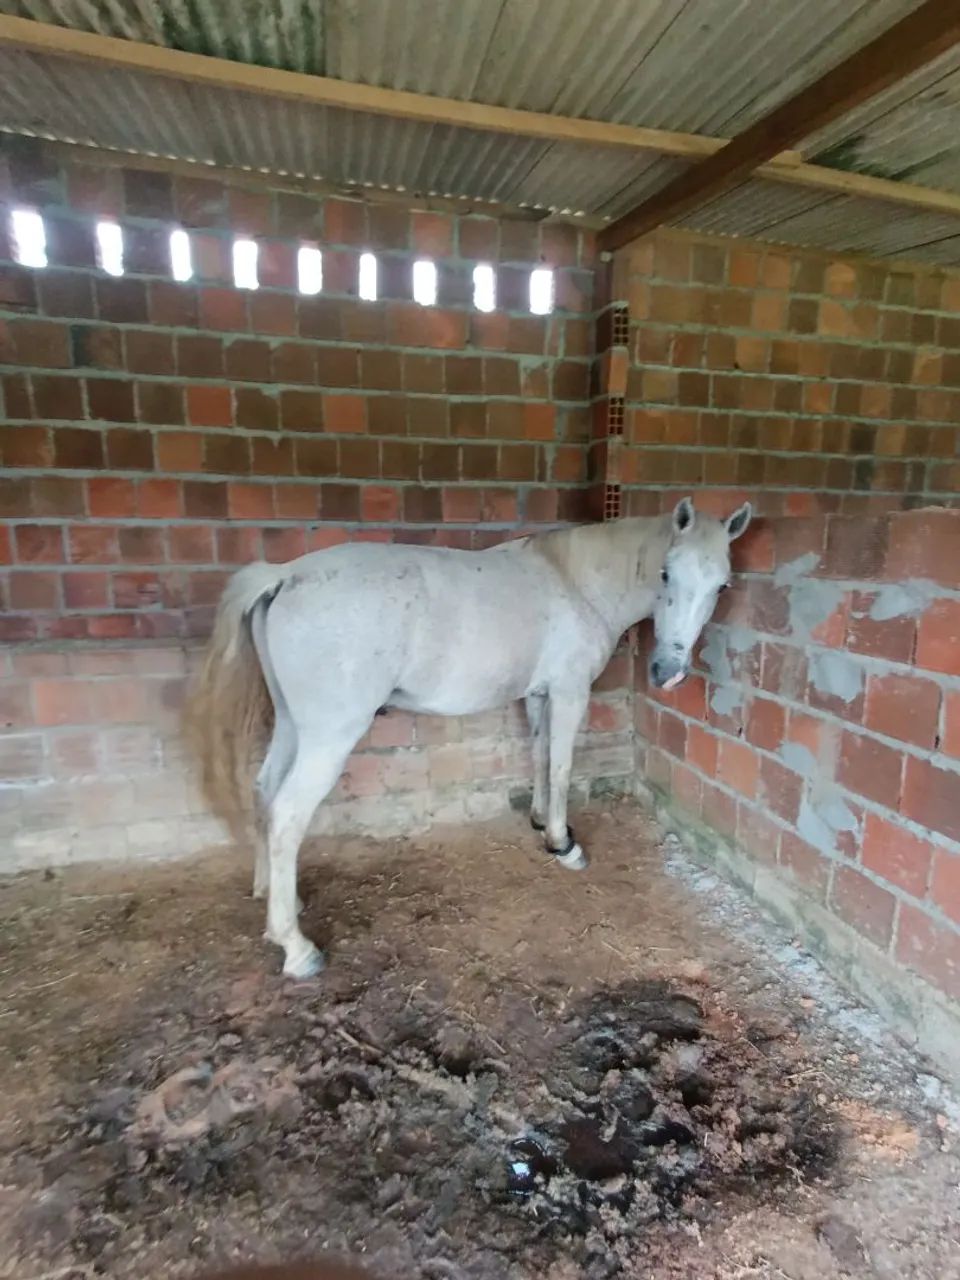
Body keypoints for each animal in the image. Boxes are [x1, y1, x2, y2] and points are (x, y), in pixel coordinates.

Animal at [184, 497, 751, 978]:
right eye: (666, 573)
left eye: (722, 586)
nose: (667, 672)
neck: (575, 582)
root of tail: (284, 576)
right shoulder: (569, 691)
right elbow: (562, 763)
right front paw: (564, 844)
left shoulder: (538, 695)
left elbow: (540, 756)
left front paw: (541, 823)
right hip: (329, 735)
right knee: (286, 814)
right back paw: (296, 947)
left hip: (292, 723)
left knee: (264, 791)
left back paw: (274, 897)